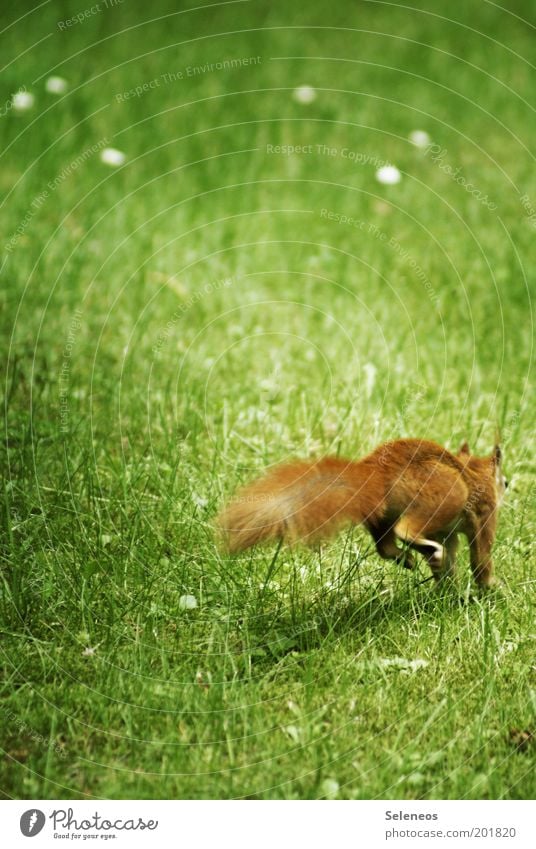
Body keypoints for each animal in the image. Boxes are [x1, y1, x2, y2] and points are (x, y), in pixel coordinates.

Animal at [218, 440, 506, 588]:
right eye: (504, 482)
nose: (508, 487)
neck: (474, 473)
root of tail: (376, 473)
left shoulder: (448, 534)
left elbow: (452, 558)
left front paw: (447, 587)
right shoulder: (483, 515)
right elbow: (481, 557)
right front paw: (490, 587)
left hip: (381, 516)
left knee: (385, 546)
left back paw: (408, 558)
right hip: (444, 495)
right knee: (406, 530)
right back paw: (420, 550)